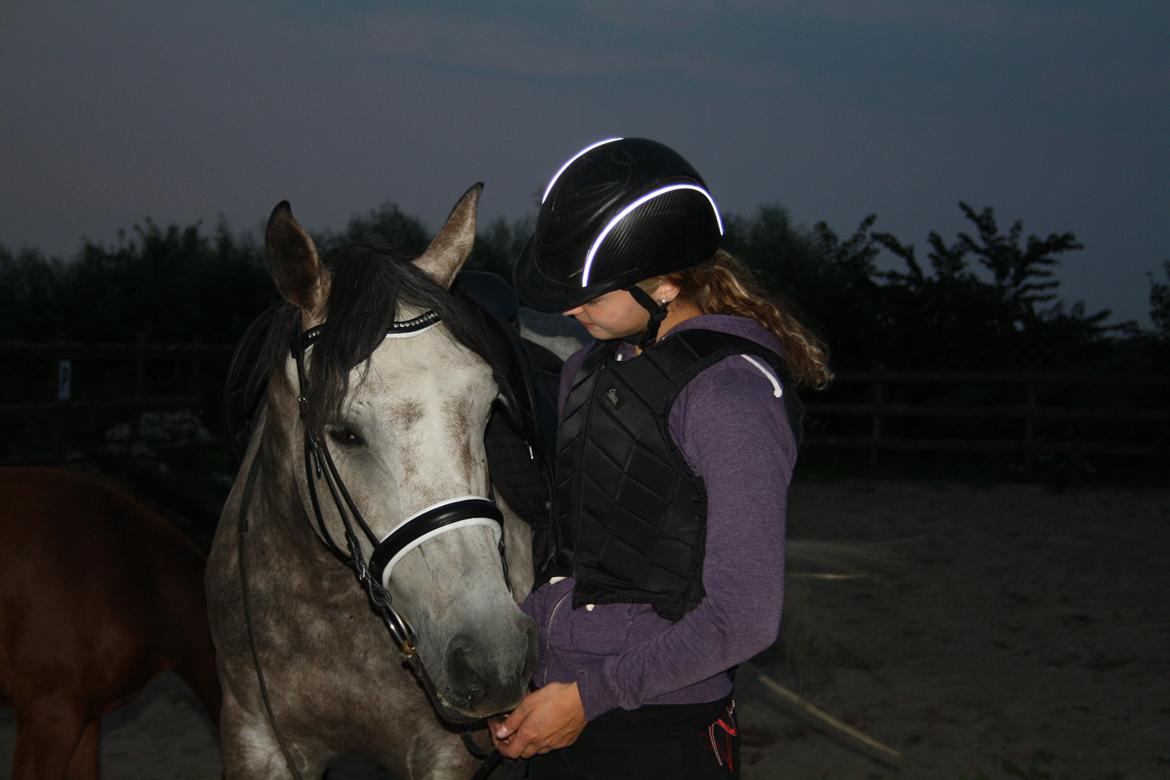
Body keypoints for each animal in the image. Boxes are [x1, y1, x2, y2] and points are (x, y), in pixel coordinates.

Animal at [204, 185, 538, 776]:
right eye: (344, 432)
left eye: (488, 410)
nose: (494, 659)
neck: (327, 612)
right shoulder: (254, 738)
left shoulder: (445, 756)